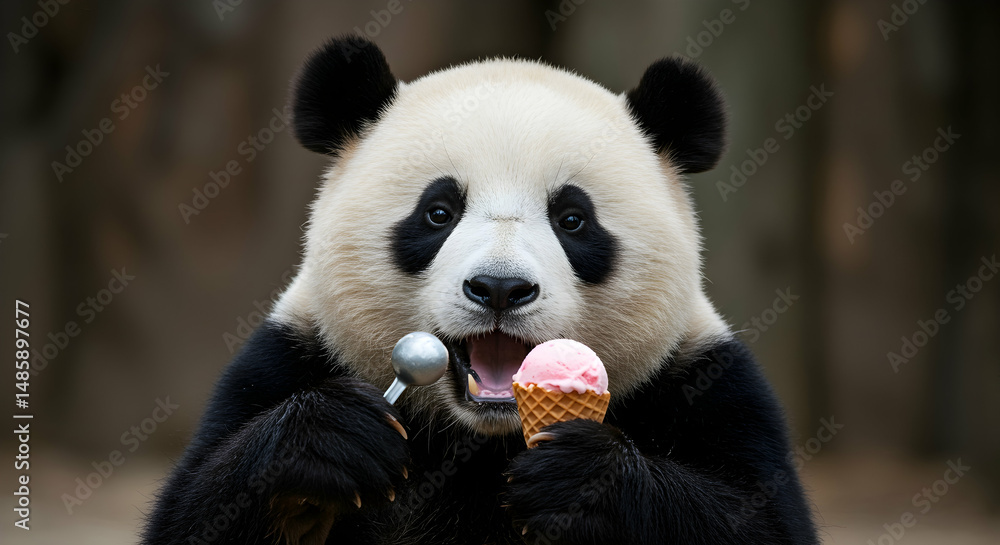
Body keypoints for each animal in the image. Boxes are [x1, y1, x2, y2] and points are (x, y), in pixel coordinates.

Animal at [143, 36, 818, 545]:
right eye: (438, 212)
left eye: (573, 219)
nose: (499, 287)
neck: (483, 438)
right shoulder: (291, 354)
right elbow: (194, 510)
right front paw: (330, 441)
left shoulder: (705, 380)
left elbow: (757, 520)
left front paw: (580, 476)